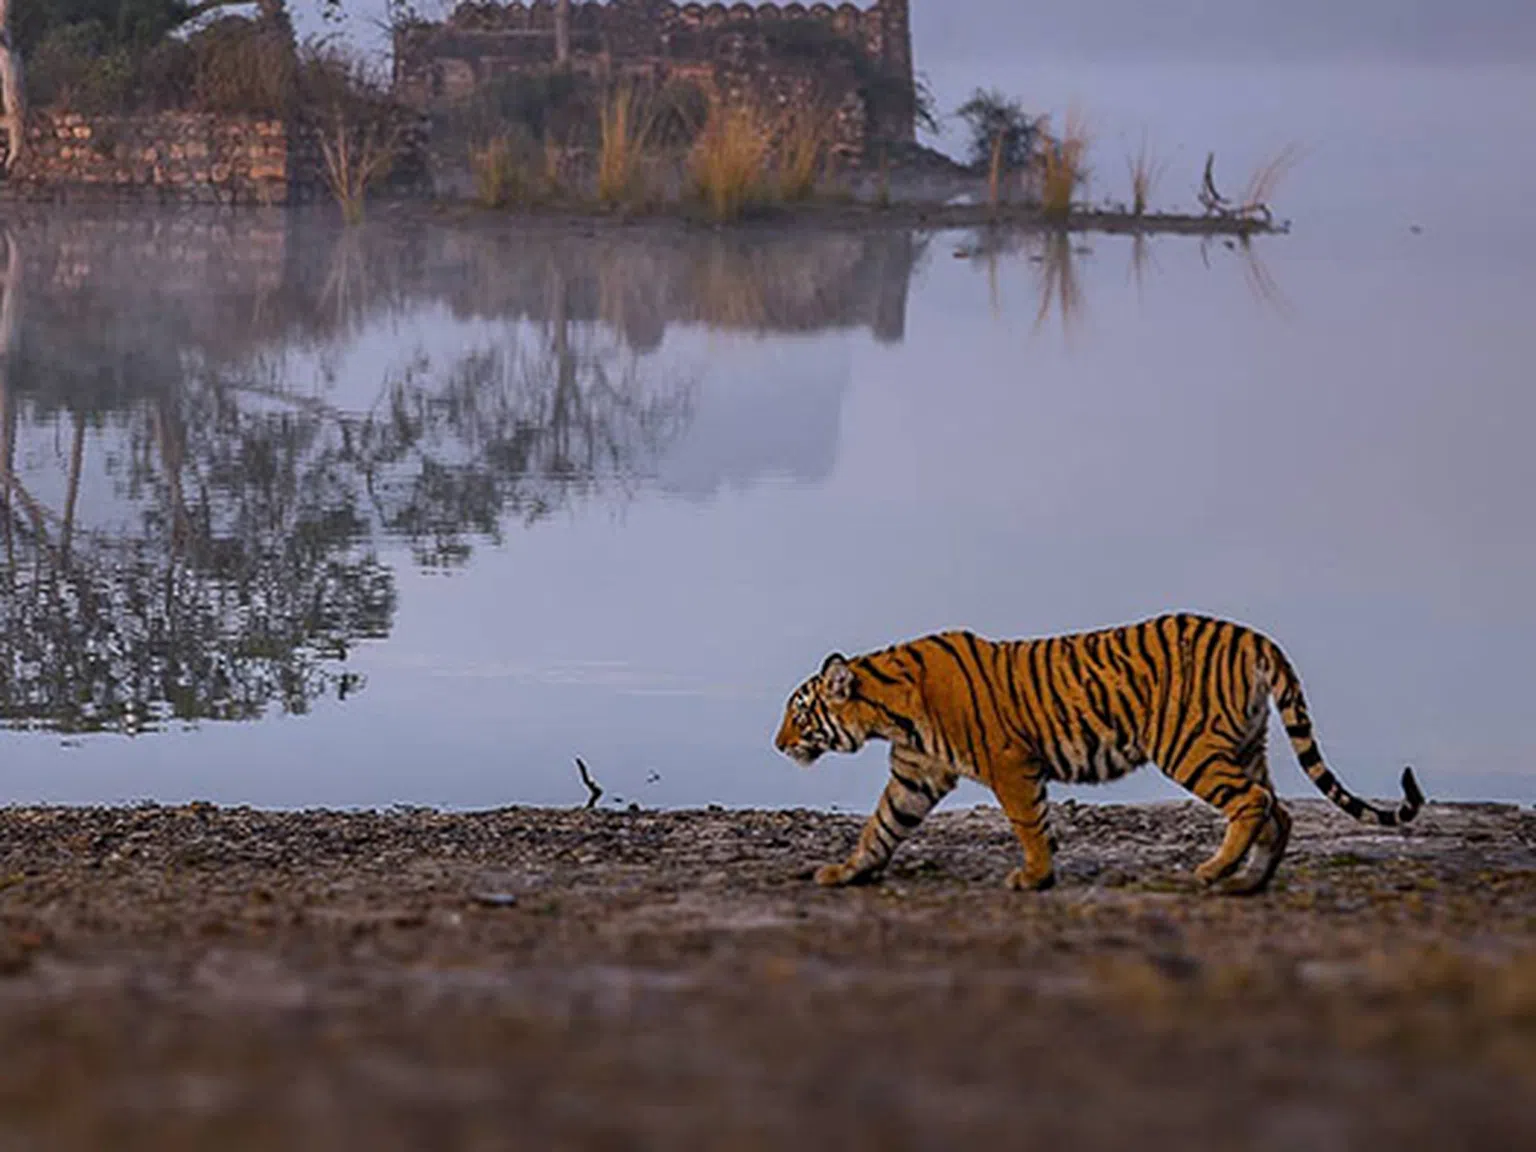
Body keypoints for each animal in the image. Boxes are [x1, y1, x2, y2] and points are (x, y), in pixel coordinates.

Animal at [774, 617, 1419, 897]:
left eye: (799, 714)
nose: (777, 744)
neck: (890, 711)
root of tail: (1254, 636)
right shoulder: (916, 775)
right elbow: (881, 826)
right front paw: (846, 872)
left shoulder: (1009, 763)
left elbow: (1028, 822)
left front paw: (1035, 877)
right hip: (1243, 742)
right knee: (1278, 810)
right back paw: (1249, 880)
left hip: (1188, 746)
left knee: (1253, 802)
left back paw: (1213, 871)